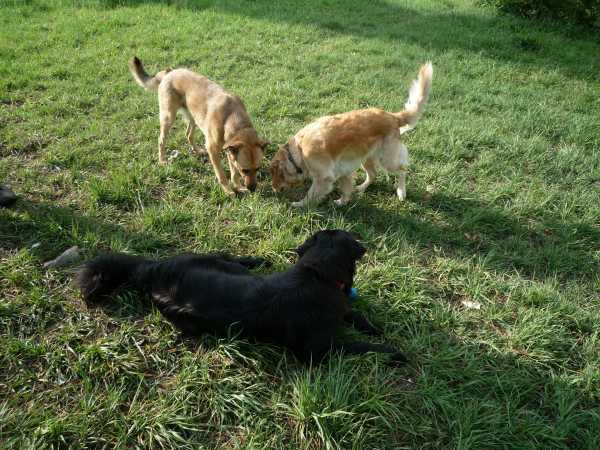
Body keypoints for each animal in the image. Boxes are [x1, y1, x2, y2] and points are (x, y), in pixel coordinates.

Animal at [77, 230, 405, 364]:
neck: (317, 275)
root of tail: (152, 269)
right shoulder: (317, 352)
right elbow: (358, 346)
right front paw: (392, 352)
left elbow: (353, 313)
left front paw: (373, 326)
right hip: (207, 270)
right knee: (229, 256)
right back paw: (256, 259)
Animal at [129, 57, 268, 194]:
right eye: (245, 170)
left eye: (258, 168)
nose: (253, 189)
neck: (232, 117)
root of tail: (169, 72)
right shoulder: (213, 149)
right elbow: (222, 174)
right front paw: (228, 190)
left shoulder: (230, 150)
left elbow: (234, 172)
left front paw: (237, 186)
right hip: (168, 117)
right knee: (161, 140)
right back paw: (162, 160)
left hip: (194, 118)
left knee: (188, 135)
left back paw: (197, 151)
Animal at [270, 63, 432, 207]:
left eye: (274, 174)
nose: (274, 190)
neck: (298, 150)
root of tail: (392, 116)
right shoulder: (343, 171)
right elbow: (346, 188)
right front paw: (342, 202)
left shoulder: (324, 176)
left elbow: (311, 193)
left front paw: (300, 204)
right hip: (366, 158)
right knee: (373, 174)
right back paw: (361, 188)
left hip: (387, 159)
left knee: (402, 171)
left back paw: (401, 192)